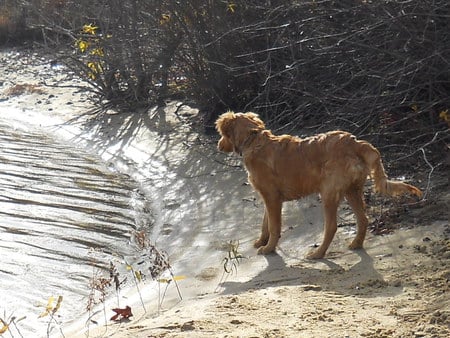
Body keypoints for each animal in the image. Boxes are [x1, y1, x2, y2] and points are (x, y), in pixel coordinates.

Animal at [216, 111, 424, 258]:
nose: (218, 145)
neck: (253, 140)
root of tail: (355, 143)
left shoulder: (273, 198)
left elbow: (274, 226)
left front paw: (268, 249)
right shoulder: (269, 197)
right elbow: (265, 222)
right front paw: (261, 242)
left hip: (329, 193)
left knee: (331, 226)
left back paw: (318, 254)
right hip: (351, 189)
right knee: (363, 219)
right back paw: (356, 244)